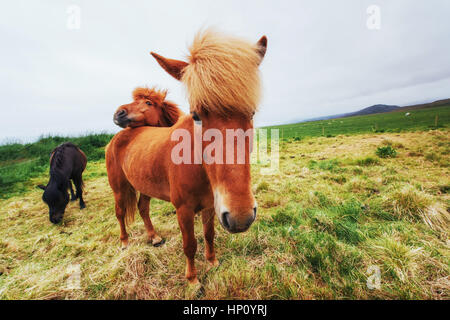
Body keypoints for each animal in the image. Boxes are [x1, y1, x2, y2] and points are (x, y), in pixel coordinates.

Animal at [105, 30, 268, 284]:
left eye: (251, 113)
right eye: (196, 115)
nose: (240, 217)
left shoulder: (211, 206)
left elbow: (209, 235)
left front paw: (212, 262)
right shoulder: (183, 210)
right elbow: (189, 244)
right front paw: (192, 280)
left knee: (143, 208)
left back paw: (153, 237)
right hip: (119, 188)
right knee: (121, 212)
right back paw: (124, 242)